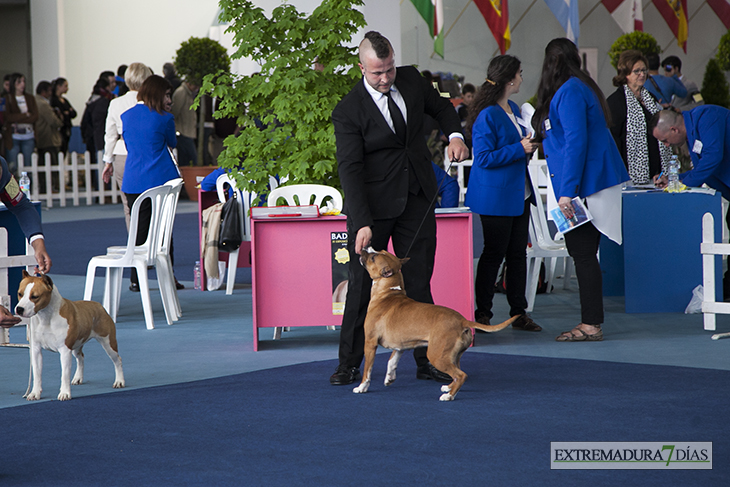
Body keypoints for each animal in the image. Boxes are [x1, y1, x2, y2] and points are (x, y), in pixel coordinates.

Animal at [14, 270, 123, 400]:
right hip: (77, 345)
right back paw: (78, 378)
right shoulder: (36, 349)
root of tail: (99, 306)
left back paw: (119, 381)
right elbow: (37, 374)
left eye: (35, 296)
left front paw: (65, 393)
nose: (19, 309)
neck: (46, 316)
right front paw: (34, 393)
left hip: (108, 343)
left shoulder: (65, 350)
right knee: (81, 357)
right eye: (20, 294)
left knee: (117, 360)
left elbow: (64, 374)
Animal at [352, 250, 512, 402]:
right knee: (457, 373)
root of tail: (462, 320)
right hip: (453, 356)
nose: (363, 249)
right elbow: (391, 362)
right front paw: (389, 378)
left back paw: (449, 396)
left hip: (437, 356)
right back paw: (448, 388)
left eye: (373, 257)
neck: (387, 293)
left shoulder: (370, 343)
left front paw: (362, 387)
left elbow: (367, 370)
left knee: (461, 375)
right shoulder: (400, 346)